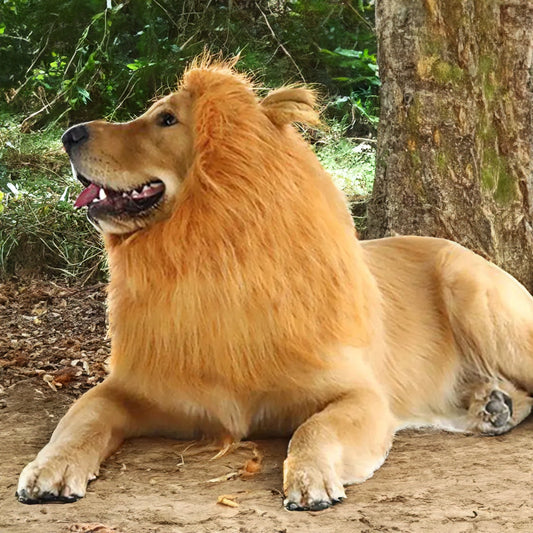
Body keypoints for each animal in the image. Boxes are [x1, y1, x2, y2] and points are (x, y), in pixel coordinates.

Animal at [16, 59, 532, 512]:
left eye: (166, 119)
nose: (68, 135)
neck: (213, 269)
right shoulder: (125, 391)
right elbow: (78, 420)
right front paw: (48, 469)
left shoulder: (361, 395)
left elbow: (313, 429)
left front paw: (310, 478)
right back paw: (490, 406)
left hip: (475, 297)